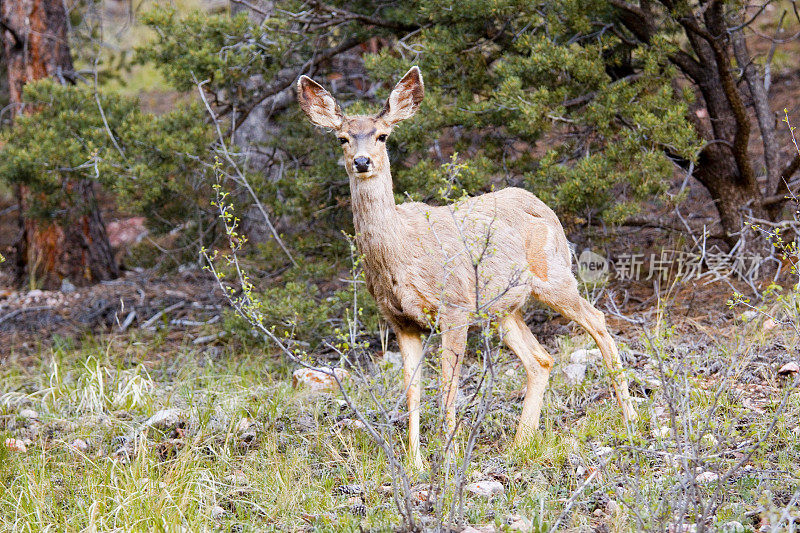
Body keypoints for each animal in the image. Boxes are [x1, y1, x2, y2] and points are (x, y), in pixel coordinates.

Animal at [296, 66, 640, 470]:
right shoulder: (400, 321)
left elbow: (449, 385)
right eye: (342, 139)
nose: (362, 162)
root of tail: (543, 206)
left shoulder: (455, 306)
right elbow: (412, 389)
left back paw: (631, 420)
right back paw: (520, 445)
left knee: (597, 321)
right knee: (540, 359)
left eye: (382, 135)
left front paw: (448, 459)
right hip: (503, 308)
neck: (399, 254)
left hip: (554, 275)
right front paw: (416, 463)